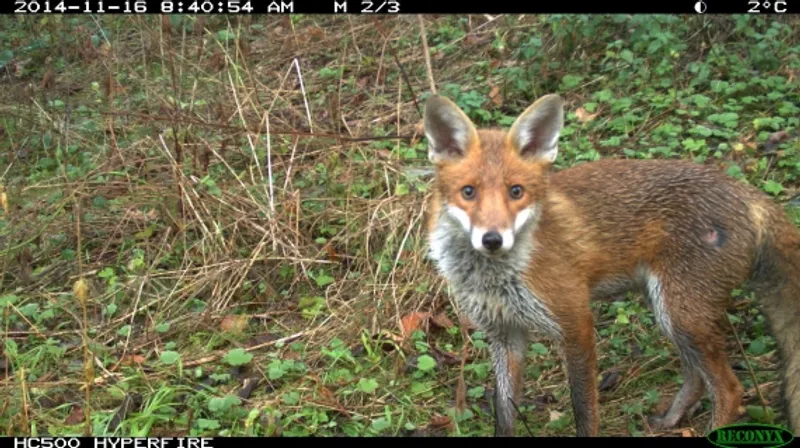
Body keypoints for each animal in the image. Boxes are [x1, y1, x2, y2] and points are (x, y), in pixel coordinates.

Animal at [423, 93, 800, 437]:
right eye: (468, 192)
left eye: (516, 192)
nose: (492, 240)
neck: (496, 277)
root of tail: (746, 192)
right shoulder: (504, 334)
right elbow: (504, 416)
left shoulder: (576, 323)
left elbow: (583, 410)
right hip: (670, 313)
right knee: (695, 376)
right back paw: (670, 420)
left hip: (682, 314)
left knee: (730, 389)